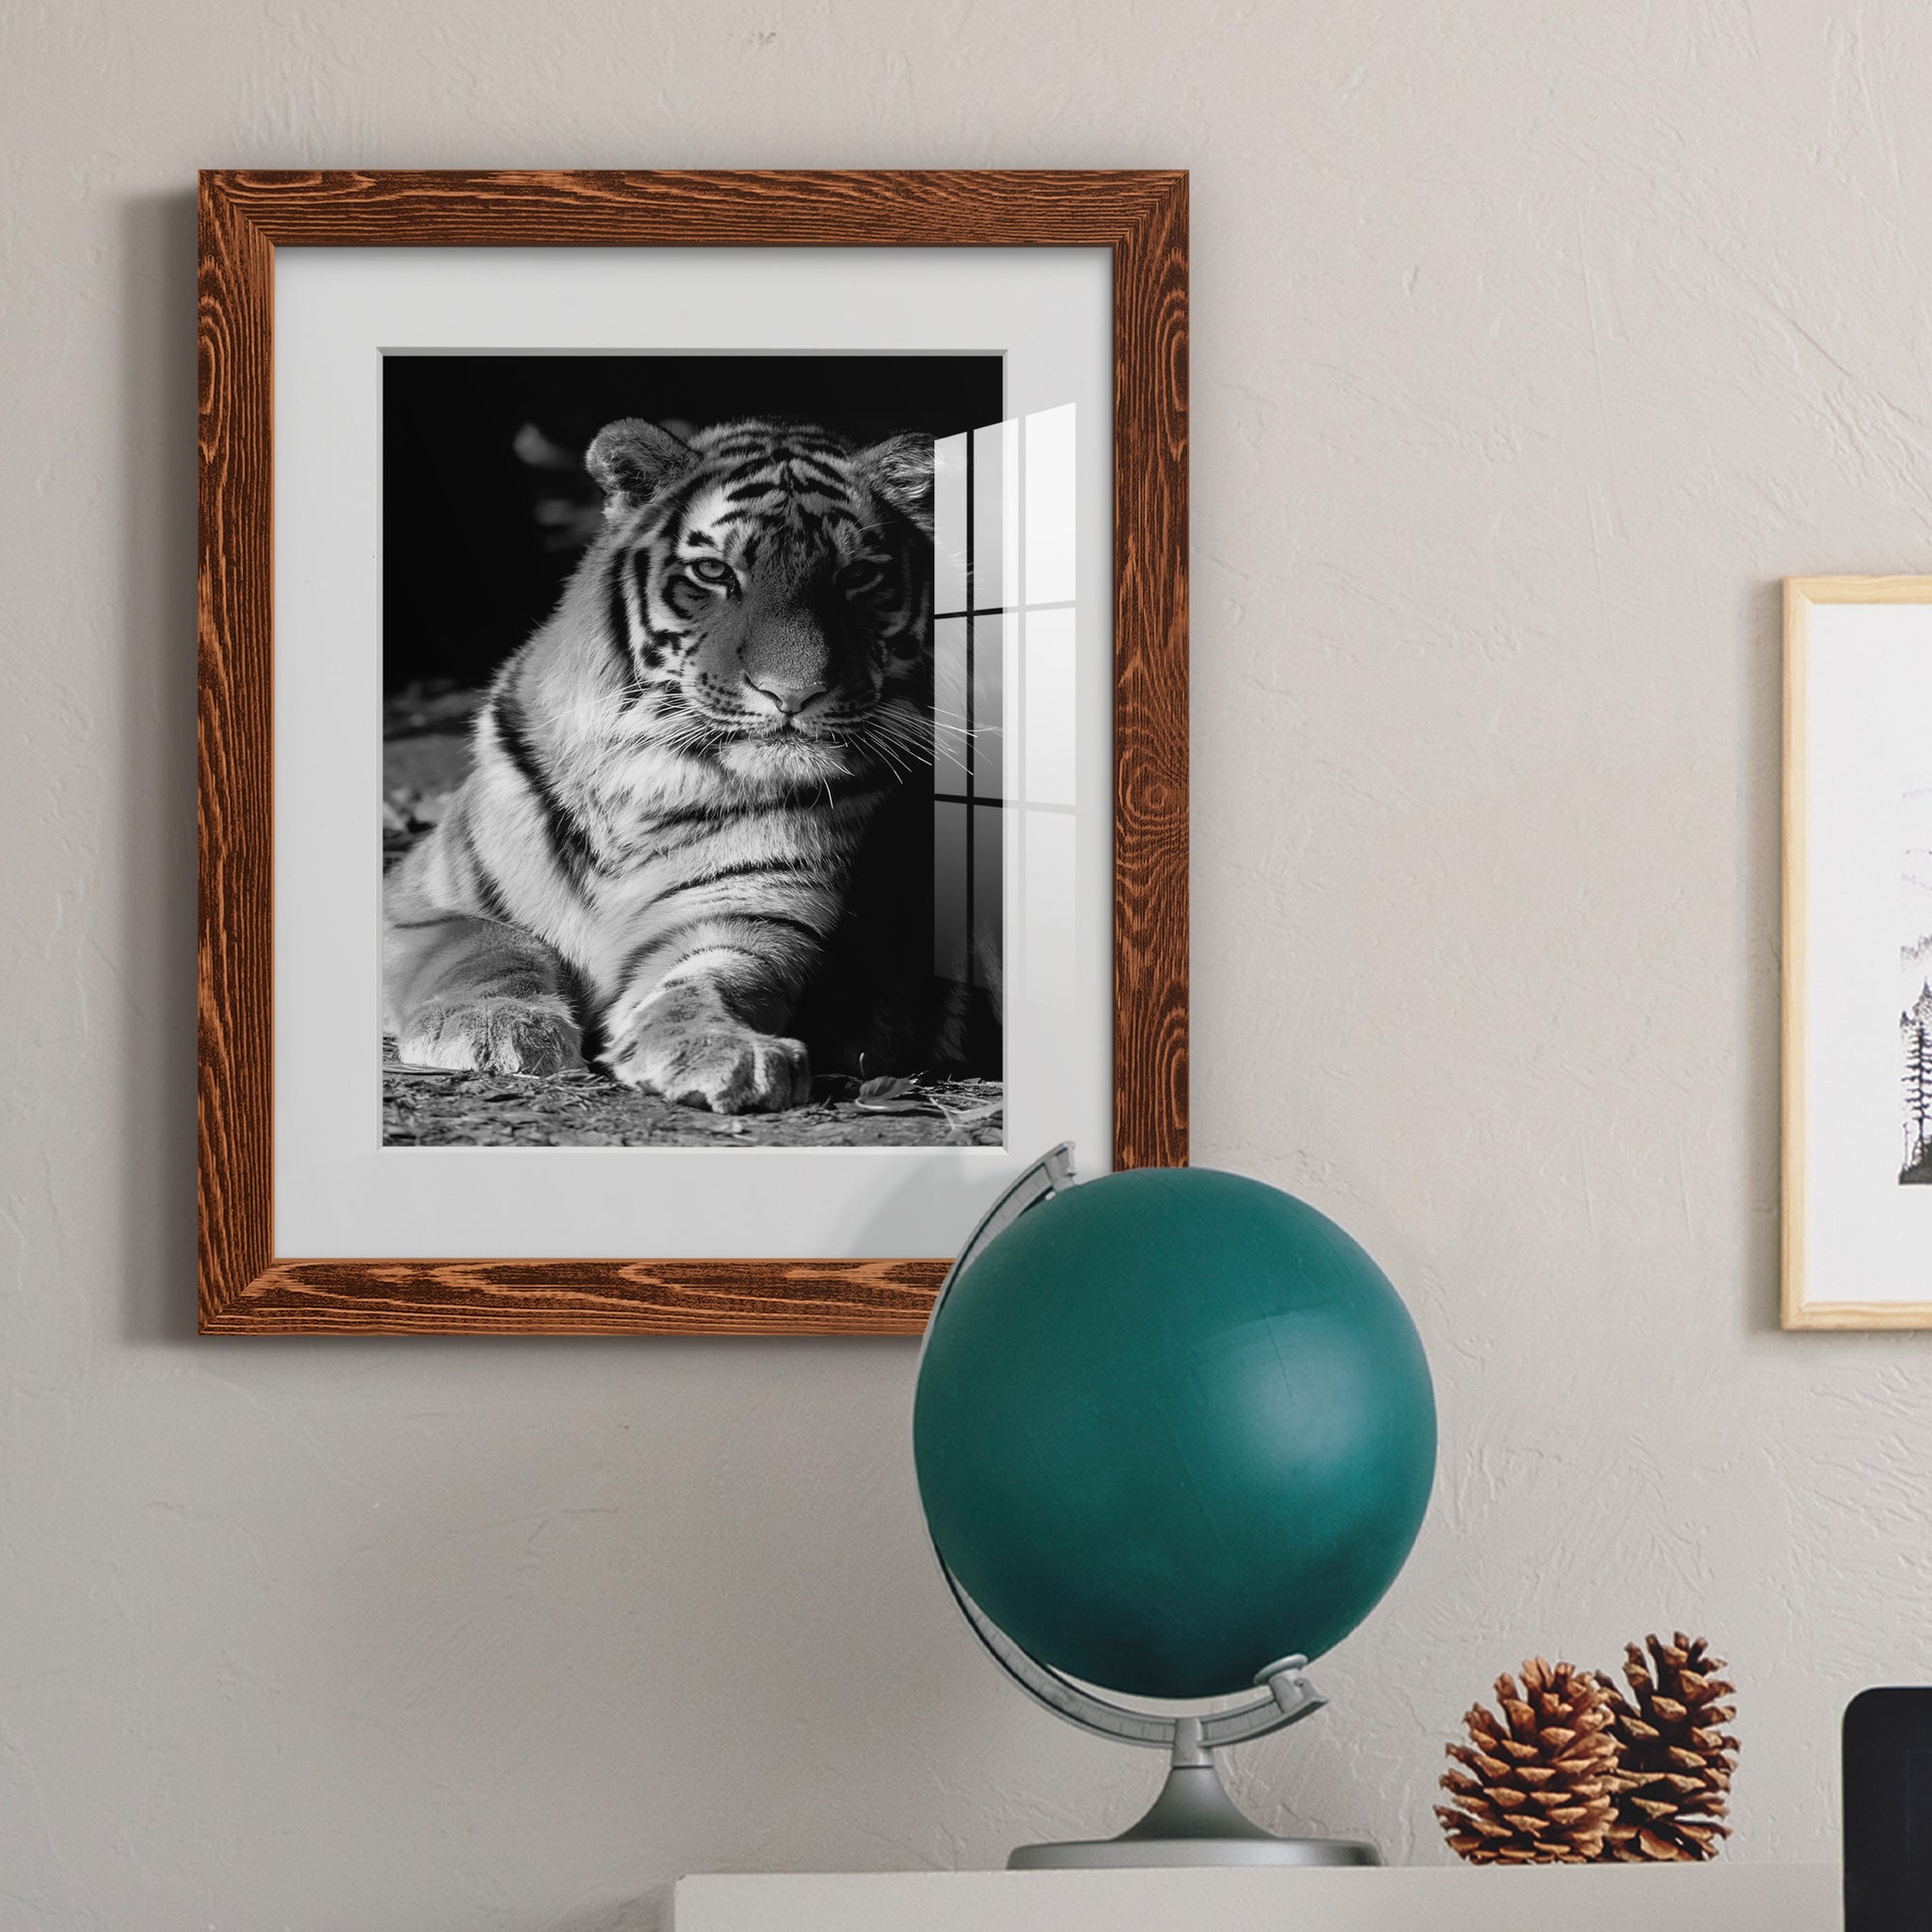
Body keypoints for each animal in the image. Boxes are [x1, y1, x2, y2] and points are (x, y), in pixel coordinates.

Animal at [383, 413, 970, 1116]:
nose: (793, 694)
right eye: (715, 572)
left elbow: (710, 981)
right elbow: (487, 942)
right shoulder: (412, 900)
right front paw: (496, 1027)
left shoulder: (751, 917)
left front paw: (721, 1049)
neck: (649, 779)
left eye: (856, 577)